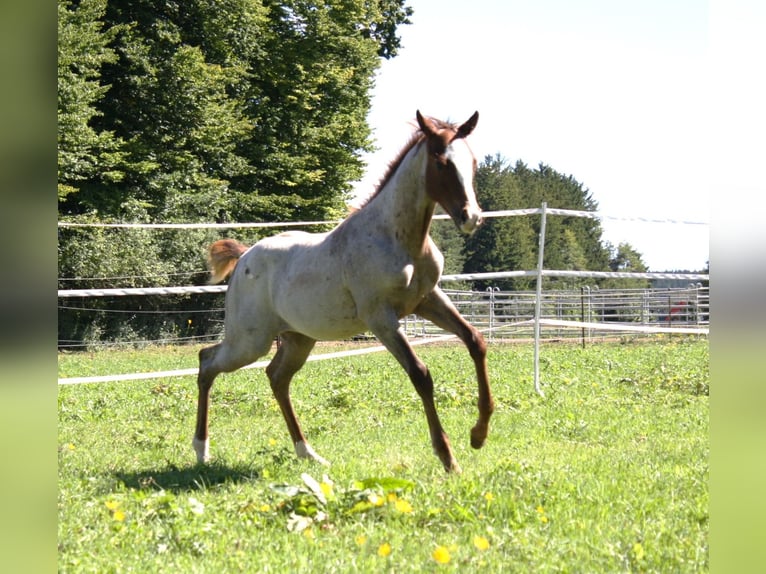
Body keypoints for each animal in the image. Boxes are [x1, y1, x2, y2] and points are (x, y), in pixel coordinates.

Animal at [193, 110, 494, 473]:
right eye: (441, 162)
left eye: (473, 162)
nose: (471, 217)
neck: (398, 240)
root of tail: (245, 257)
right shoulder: (381, 318)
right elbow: (421, 375)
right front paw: (448, 458)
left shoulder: (428, 300)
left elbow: (475, 341)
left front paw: (478, 434)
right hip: (250, 341)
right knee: (207, 361)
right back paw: (201, 450)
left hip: (297, 339)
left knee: (276, 378)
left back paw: (308, 453)